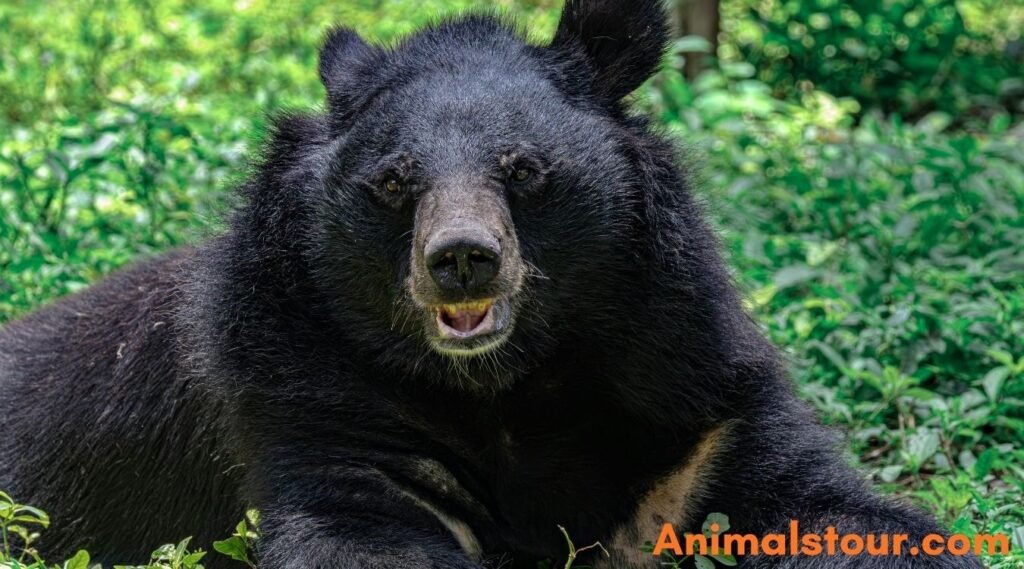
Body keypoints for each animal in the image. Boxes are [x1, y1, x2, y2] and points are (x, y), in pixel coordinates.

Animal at [0, 1, 983, 568]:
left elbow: (826, 508)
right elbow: (360, 532)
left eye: (524, 169)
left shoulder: (690, 392)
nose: (464, 257)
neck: (508, 384)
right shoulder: (314, 399)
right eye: (395, 181)